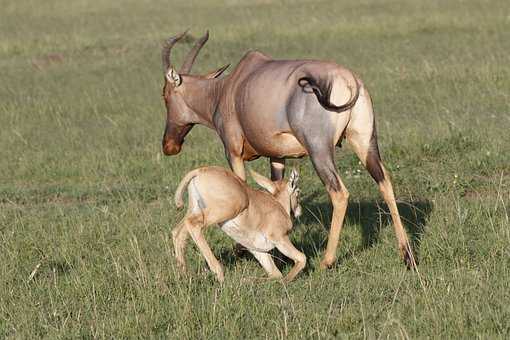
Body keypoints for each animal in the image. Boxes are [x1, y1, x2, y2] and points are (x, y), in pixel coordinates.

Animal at [161, 30, 416, 270]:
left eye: (165, 94)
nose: (169, 146)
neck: (229, 87)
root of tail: (349, 80)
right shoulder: (277, 156)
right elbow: (275, 188)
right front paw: (280, 254)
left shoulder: (233, 152)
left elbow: (242, 185)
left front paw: (242, 250)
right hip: (365, 142)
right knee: (385, 182)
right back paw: (407, 256)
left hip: (319, 150)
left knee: (340, 193)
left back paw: (327, 261)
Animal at [173, 166, 304, 282]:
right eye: (298, 192)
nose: (299, 211)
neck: (279, 205)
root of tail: (200, 170)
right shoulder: (280, 239)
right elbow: (301, 258)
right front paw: (286, 281)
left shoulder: (258, 250)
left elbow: (275, 274)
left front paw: (248, 279)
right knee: (193, 224)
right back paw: (219, 273)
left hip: (195, 209)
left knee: (178, 232)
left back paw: (183, 275)